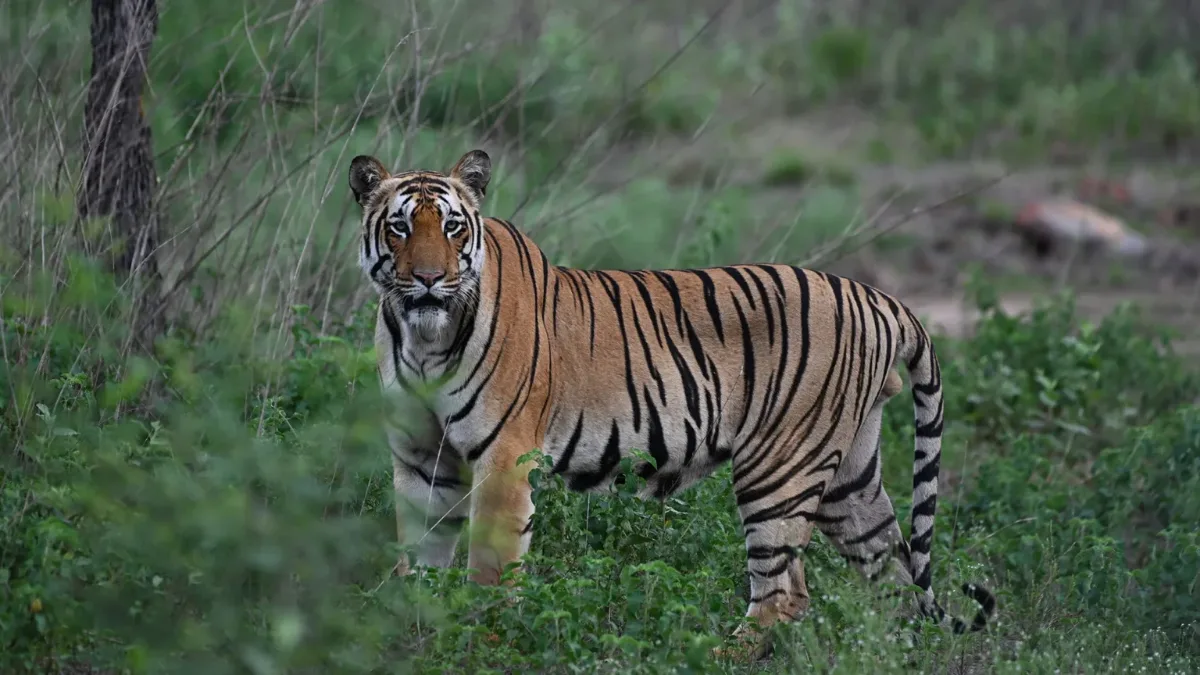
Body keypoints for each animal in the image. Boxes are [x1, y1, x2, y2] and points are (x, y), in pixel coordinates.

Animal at [348, 149, 995, 657]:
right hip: (850, 479)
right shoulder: (421, 461)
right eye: (400, 228)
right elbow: (417, 560)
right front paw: (413, 632)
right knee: (894, 575)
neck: (425, 340)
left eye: (453, 227)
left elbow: (489, 572)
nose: (428, 279)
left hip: (779, 468)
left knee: (785, 593)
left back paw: (714, 654)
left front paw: (482, 645)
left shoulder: (505, 459)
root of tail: (880, 297)